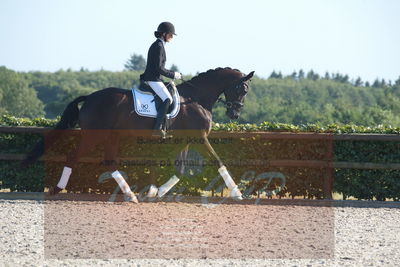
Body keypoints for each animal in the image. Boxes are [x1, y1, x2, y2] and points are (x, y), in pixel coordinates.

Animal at [25, 67, 255, 203]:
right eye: (242, 89)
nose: (234, 114)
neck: (196, 99)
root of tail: (90, 97)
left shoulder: (187, 139)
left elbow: (180, 169)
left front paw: (157, 192)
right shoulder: (199, 138)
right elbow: (217, 161)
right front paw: (237, 193)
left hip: (113, 136)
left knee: (109, 161)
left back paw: (130, 194)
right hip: (94, 136)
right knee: (74, 156)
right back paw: (57, 189)